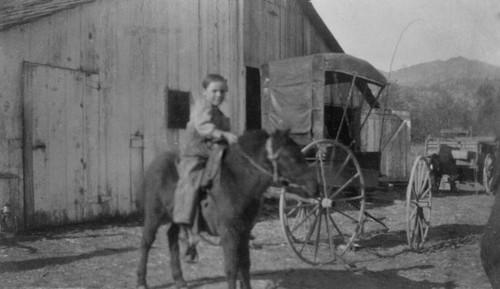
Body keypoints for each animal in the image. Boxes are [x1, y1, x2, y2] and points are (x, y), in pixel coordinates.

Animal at [135, 129, 318, 288]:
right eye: (291, 158)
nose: (315, 186)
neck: (237, 182)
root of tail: (155, 164)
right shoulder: (229, 233)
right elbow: (232, 268)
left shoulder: (244, 232)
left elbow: (245, 266)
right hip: (154, 215)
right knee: (146, 242)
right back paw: (141, 281)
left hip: (178, 217)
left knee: (171, 237)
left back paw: (179, 280)